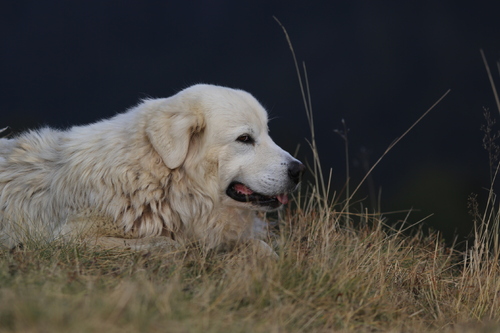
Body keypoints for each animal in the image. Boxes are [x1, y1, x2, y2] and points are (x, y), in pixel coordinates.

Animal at [0, 83, 304, 252]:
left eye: (267, 133)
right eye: (245, 139)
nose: (298, 170)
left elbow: (262, 248)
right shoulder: (69, 238)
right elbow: (166, 244)